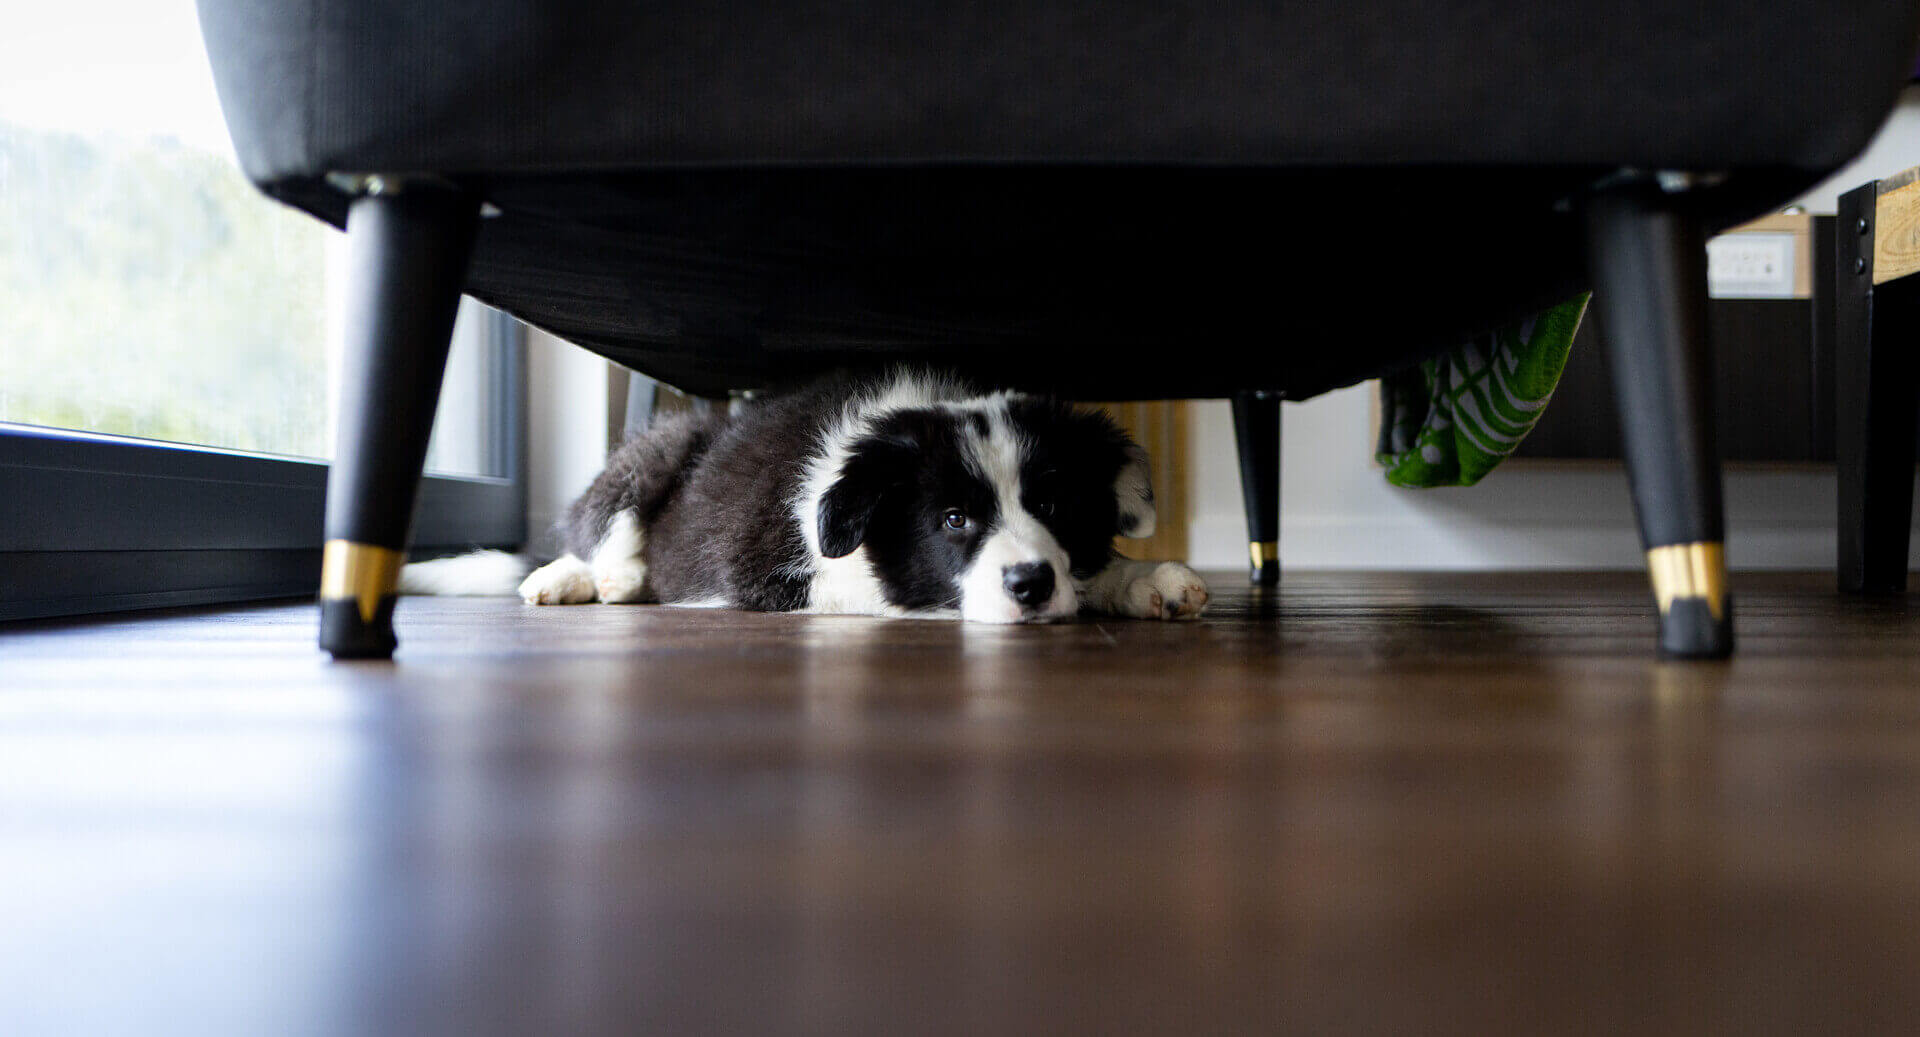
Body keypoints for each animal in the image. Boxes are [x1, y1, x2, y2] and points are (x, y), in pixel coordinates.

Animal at [407, 368, 1205, 618]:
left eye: (1052, 505)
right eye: (954, 519)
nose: (1031, 585)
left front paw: (1146, 580)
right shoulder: (769, 571)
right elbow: (889, 585)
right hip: (655, 449)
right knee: (592, 531)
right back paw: (587, 578)